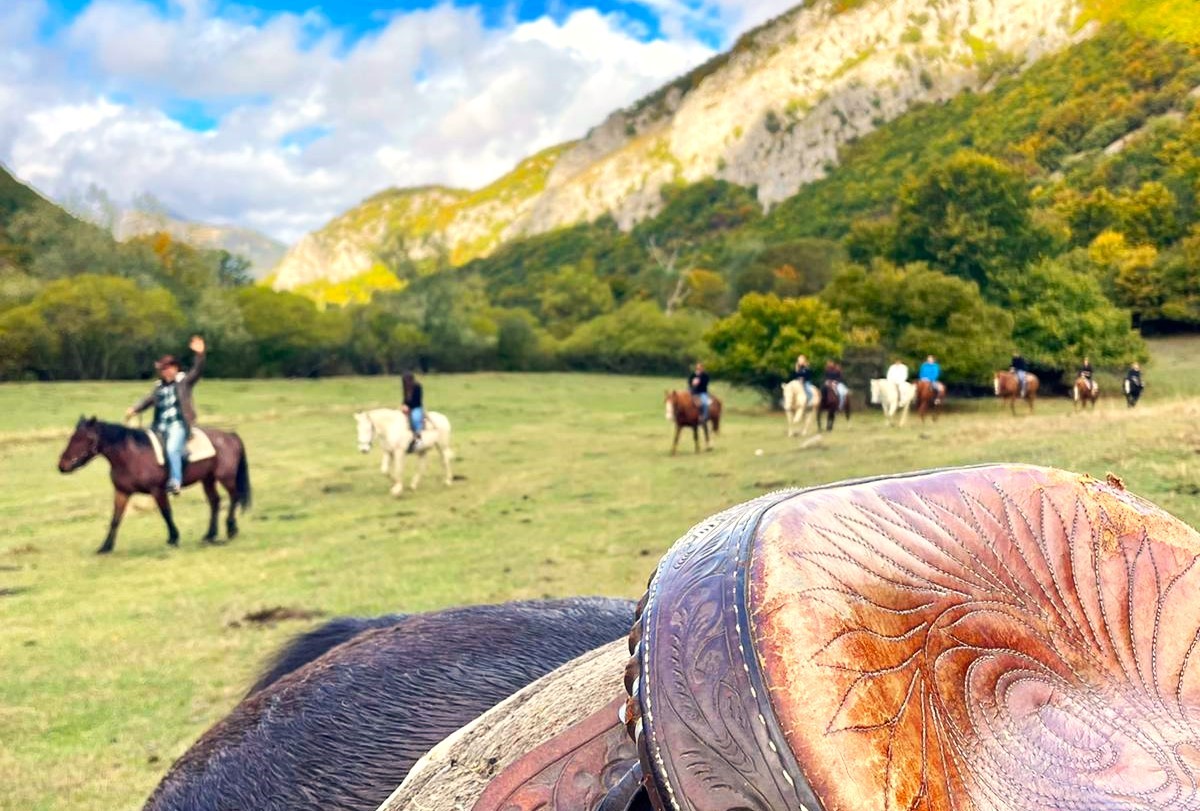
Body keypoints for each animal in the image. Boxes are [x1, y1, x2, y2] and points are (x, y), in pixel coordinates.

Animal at [57, 417, 250, 554]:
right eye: (72, 437)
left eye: (86, 438)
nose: (62, 465)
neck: (131, 456)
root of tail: (230, 436)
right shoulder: (122, 492)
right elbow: (115, 519)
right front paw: (105, 547)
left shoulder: (158, 490)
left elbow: (166, 513)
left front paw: (173, 538)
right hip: (208, 479)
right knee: (215, 502)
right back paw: (210, 535)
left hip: (226, 477)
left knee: (234, 497)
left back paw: (231, 528)